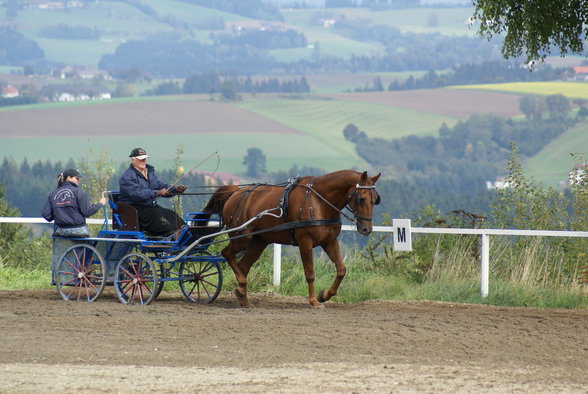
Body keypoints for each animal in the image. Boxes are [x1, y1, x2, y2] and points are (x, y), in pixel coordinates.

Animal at [204, 169, 384, 308]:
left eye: (375, 199)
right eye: (361, 198)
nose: (366, 229)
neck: (319, 201)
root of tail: (236, 192)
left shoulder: (329, 241)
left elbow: (341, 269)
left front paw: (324, 295)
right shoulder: (305, 243)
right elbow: (310, 273)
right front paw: (313, 301)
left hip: (258, 242)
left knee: (243, 265)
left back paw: (243, 296)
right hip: (242, 238)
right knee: (227, 254)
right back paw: (241, 287)